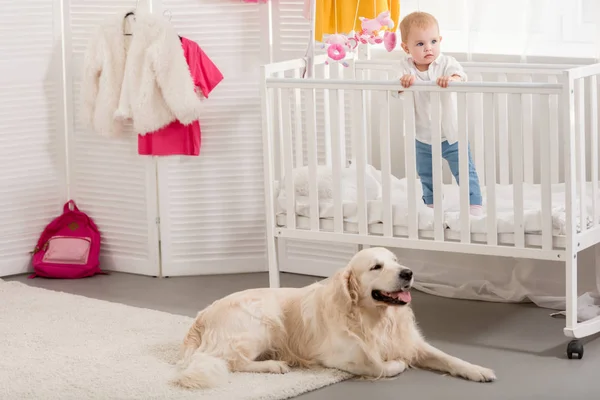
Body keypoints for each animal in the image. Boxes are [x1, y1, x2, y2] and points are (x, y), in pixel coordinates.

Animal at [175, 247, 496, 388]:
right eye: (377, 266)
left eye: (395, 260)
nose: (408, 273)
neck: (375, 318)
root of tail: (203, 315)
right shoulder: (341, 356)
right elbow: (379, 365)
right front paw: (397, 364)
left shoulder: (411, 342)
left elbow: (449, 358)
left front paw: (478, 370)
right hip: (261, 324)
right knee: (230, 361)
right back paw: (274, 365)